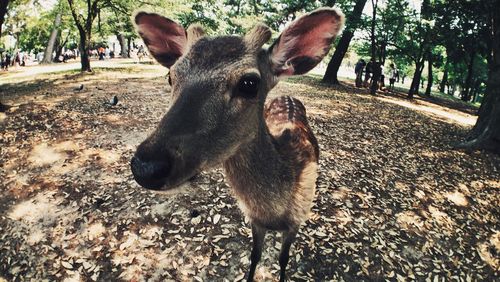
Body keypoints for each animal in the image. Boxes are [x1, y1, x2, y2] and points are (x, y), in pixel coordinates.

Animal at [130, 7, 344, 280]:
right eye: (171, 76)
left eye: (249, 83)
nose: (146, 166)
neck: (273, 211)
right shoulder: (253, 220)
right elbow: (254, 256)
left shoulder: (297, 220)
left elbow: (283, 259)